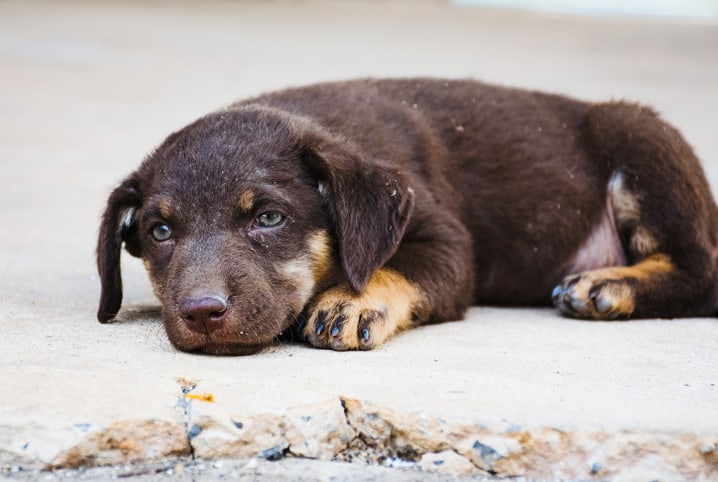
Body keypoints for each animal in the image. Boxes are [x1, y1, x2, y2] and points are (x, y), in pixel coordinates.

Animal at [98, 78, 718, 354]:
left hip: (638, 136)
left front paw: (350, 302)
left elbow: (396, 268)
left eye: (269, 219)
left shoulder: (447, 241)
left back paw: (606, 285)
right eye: (160, 232)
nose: (202, 314)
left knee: (702, 271)